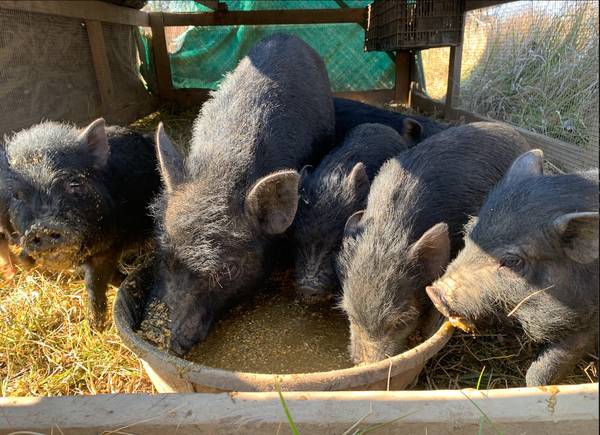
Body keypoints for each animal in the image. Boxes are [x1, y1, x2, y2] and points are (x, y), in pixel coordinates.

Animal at [2, 119, 162, 330]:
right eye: (16, 195)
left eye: (73, 183)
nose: (44, 227)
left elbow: (94, 283)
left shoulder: (107, 247)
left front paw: (95, 328)